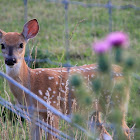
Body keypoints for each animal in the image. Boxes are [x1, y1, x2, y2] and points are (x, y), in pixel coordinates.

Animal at [0, 18, 131, 140]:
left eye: (21, 44)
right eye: (2, 45)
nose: (11, 60)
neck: (31, 82)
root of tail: (122, 71)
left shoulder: (52, 110)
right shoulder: (32, 116)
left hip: (115, 103)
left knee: (125, 131)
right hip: (93, 112)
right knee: (106, 135)